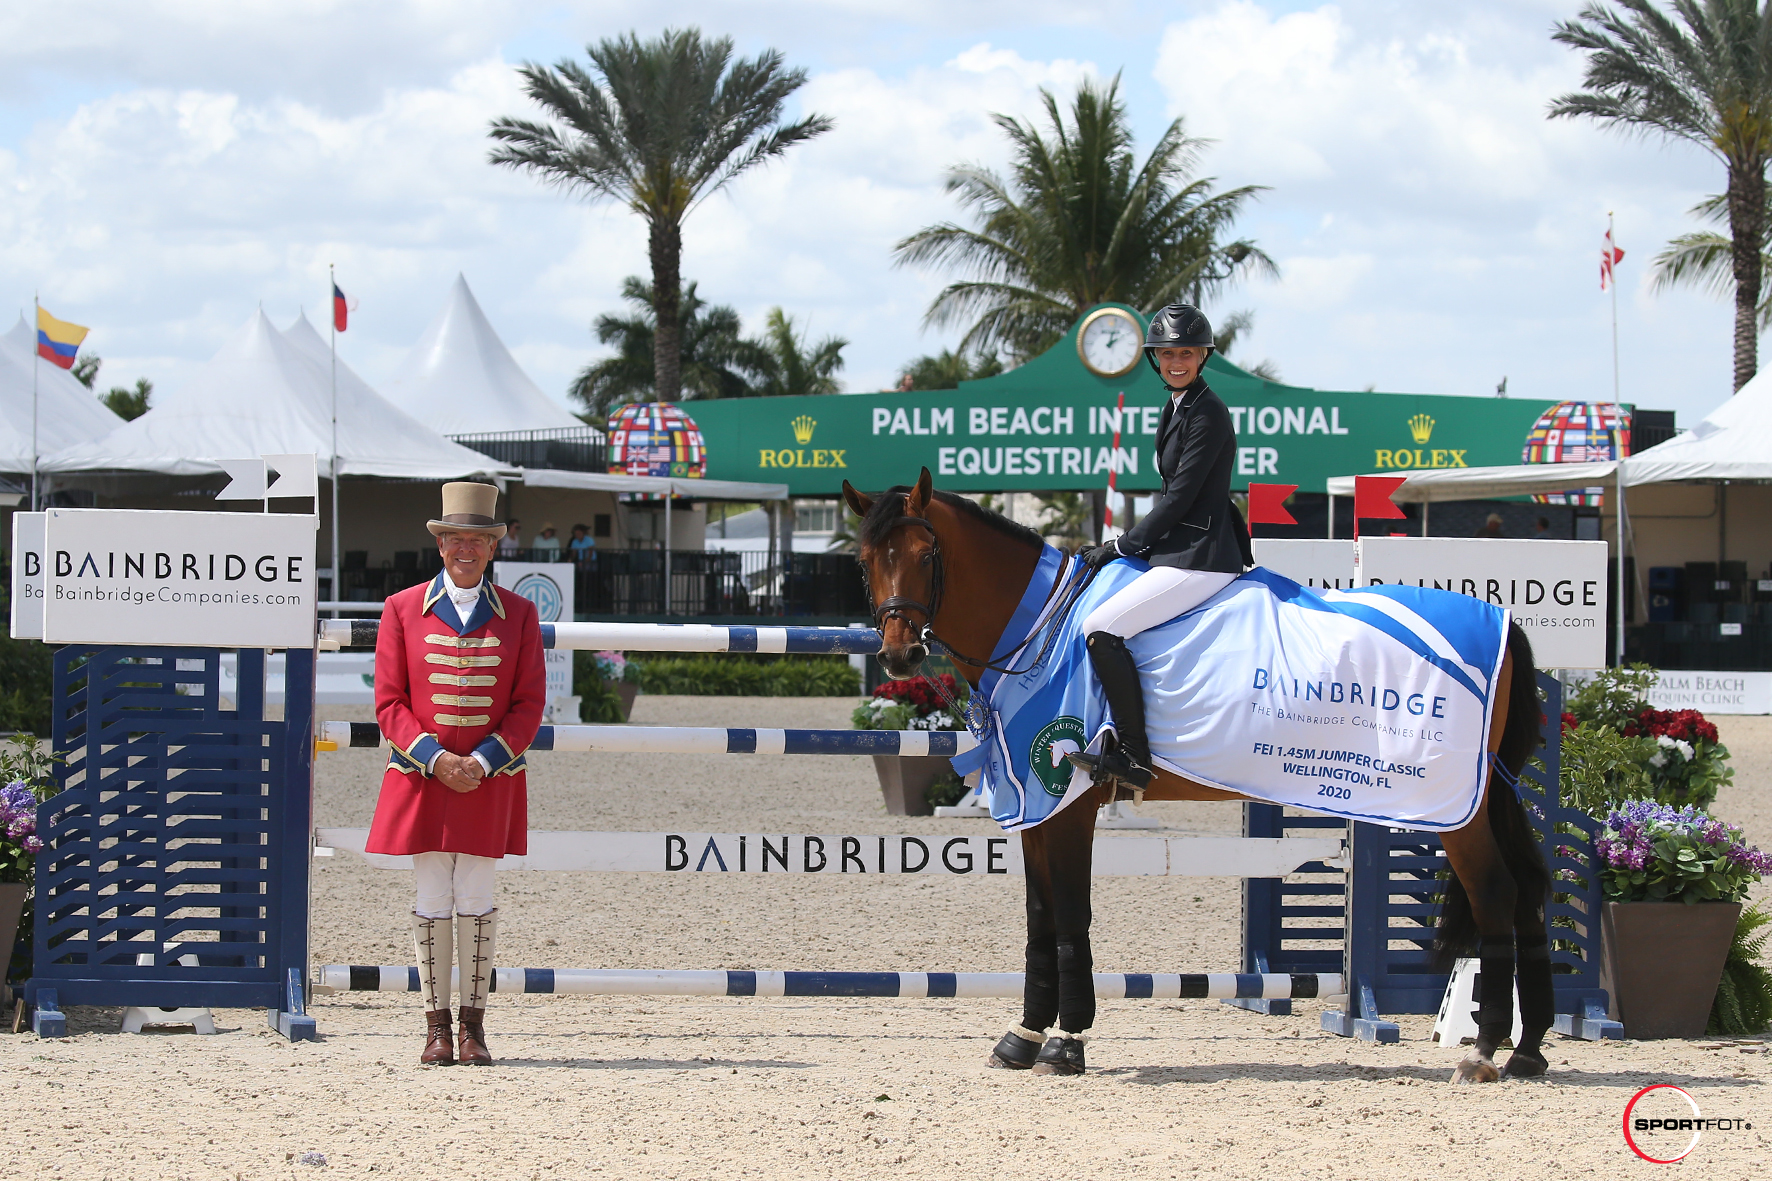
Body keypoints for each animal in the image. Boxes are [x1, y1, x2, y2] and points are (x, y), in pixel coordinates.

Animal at [843, 471, 1552, 1085]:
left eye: (925, 554)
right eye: (865, 560)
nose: (899, 654)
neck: (1042, 630)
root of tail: (1506, 624)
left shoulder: (1069, 803)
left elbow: (1071, 914)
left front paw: (1066, 1043)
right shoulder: (1037, 807)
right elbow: (1040, 917)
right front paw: (1023, 1037)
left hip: (1451, 806)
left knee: (1496, 892)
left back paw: (1484, 1052)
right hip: (1481, 801)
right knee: (1526, 893)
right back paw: (1528, 1051)